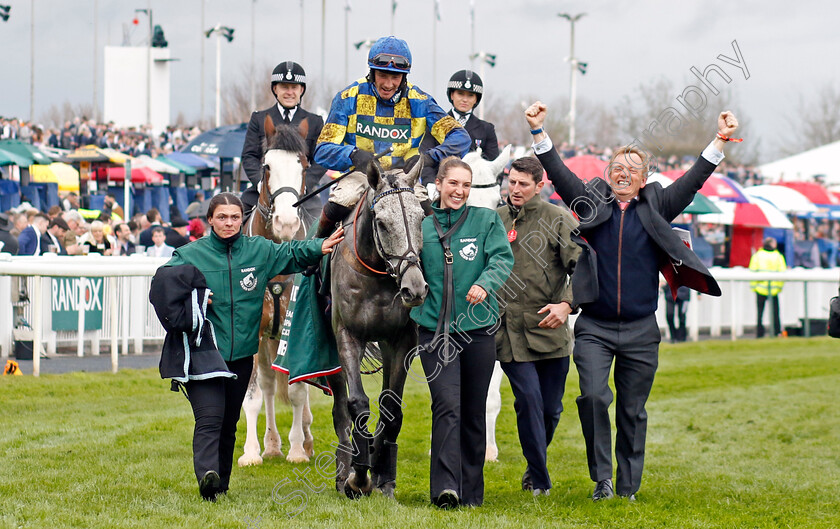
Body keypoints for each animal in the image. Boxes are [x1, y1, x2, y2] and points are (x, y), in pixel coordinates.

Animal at [324, 159, 430, 498]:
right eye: (382, 223)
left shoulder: (402, 340)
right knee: (340, 408)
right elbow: (356, 404)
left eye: (420, 218)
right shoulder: (347, 336)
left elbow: (391, 406)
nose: (414, 289)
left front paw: (383, 474)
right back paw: (344, 468)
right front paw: (358, 477)